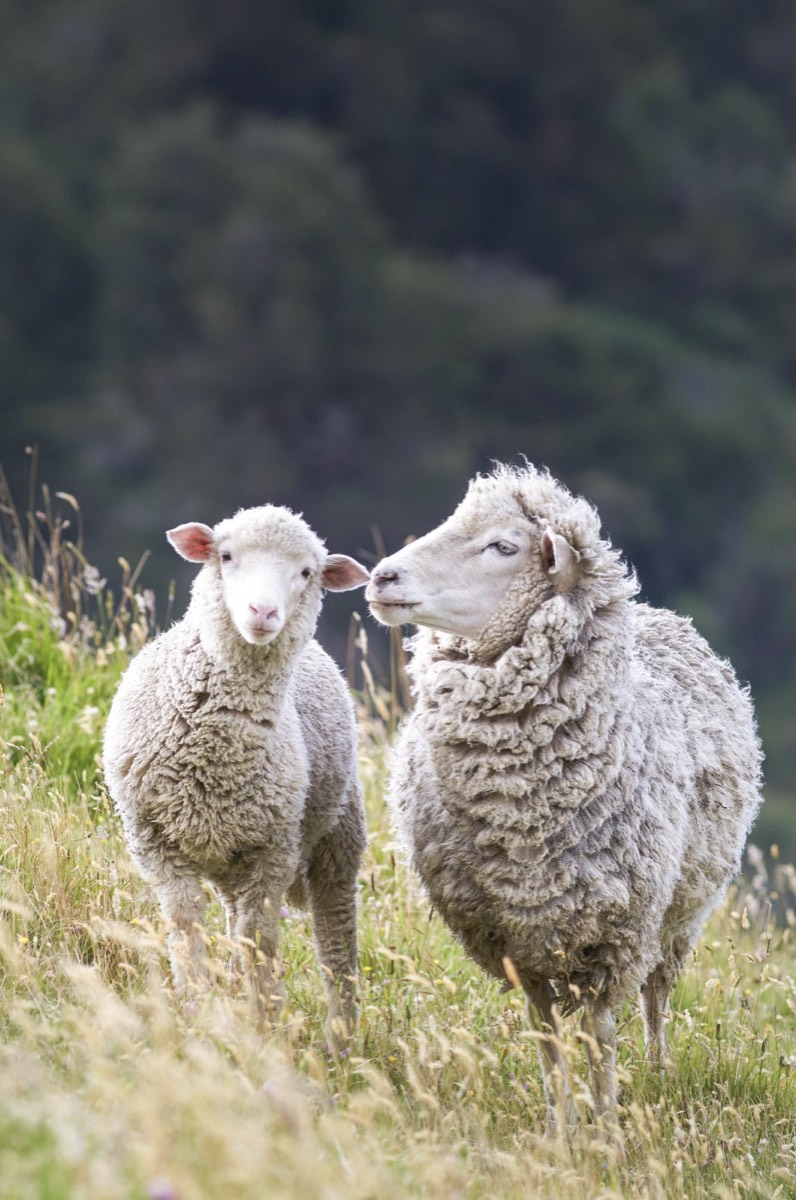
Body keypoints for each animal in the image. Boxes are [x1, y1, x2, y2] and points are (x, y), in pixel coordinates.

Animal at [103, 504, 370, 1046]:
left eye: (306, 573)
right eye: (225, 556)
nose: (263, 613)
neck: (213, 756)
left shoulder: (273, 850)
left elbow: (258, 942)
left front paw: (265, 1023)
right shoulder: (155, 843)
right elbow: (186, 928)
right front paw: (197, 1013)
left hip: (336, 836)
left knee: (335, 937)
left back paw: (341, 1040)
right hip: (229, 854)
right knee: (231, 921)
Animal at [366, 462, 763, 1130]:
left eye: (504, 546)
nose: (382, 577)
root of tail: (661, 615)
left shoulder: (616, 933)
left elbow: (600, 1036)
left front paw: (606, 1131)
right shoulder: (514, 939)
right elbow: (547, 1035)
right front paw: (562, 1130)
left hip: (677, 917)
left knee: (656, 998)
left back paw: (658, 1072)